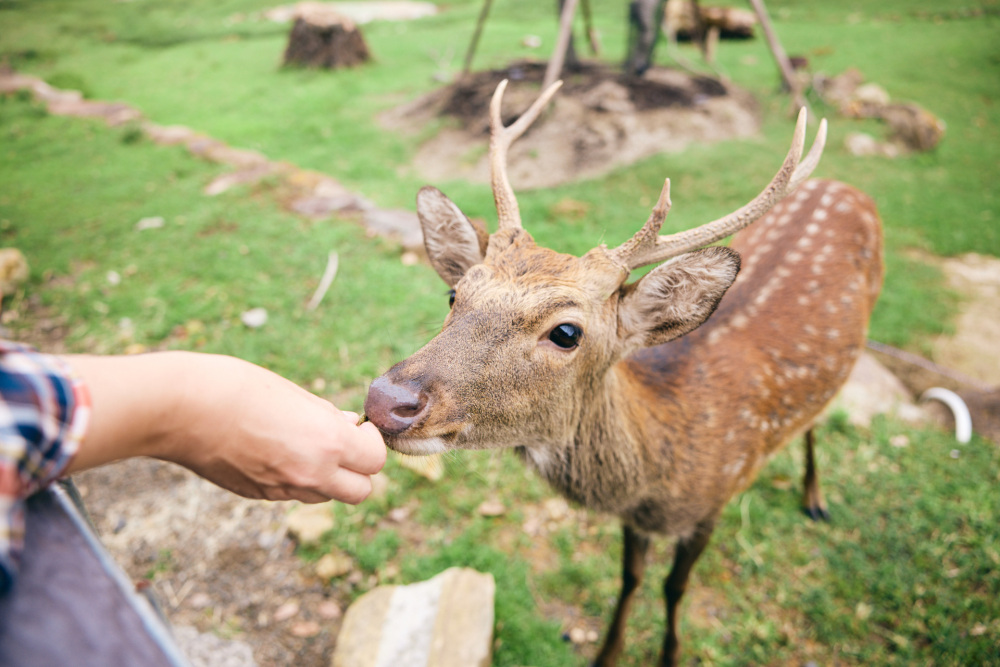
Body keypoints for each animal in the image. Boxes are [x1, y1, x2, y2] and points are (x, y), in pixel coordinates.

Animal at [366, 81, 884, 664]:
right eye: (455, 293)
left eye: (567, 332)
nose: (386, 399)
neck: (663, 472)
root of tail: (846, 186)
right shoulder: (635, 522)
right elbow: (631, 579)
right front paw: (609, 651)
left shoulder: (716, 499)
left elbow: (674, 586)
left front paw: (670, 653)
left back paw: (815, 498)